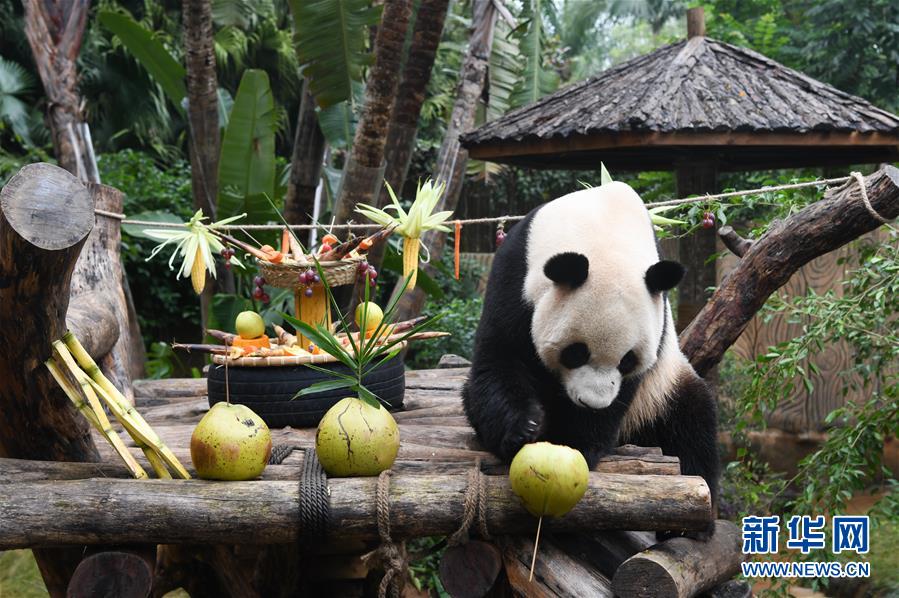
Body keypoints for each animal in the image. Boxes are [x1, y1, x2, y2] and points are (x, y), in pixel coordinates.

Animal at [468, 183, 720, 524]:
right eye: (576, 353)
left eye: (627, 360)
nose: (591, 403)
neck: (603, 221)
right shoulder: (515, 274)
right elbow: (501, 357)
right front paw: (523, 428)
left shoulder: (656, 331)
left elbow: (623, 396)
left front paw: (577, 441)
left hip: (662, 391)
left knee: (692, 429)